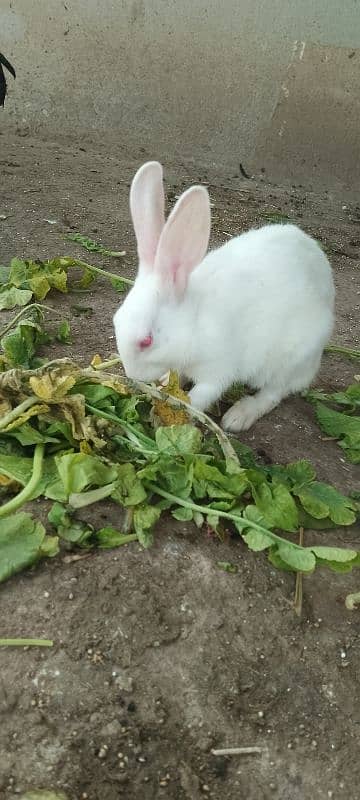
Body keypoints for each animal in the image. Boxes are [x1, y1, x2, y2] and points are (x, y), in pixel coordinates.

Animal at [114, 161, 336, 432]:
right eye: (116, 321)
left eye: (146, 341)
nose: (132, 374)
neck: (194, 323)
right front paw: (164, 384)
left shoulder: (217, 370)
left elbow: (201, 396)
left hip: (290, 358)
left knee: (274, 392)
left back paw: (238, 417)